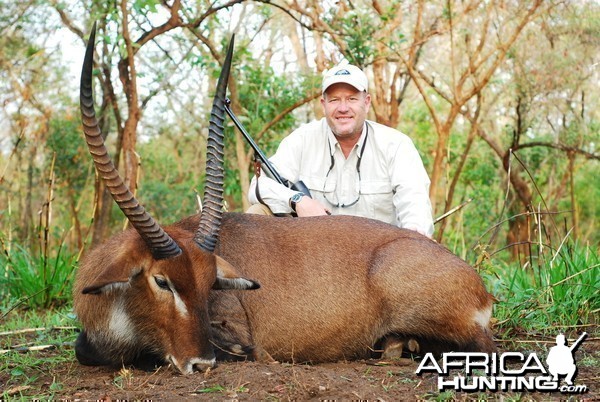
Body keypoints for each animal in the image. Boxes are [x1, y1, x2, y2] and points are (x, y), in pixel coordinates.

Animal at [74, 26, 496, 376]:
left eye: (210, 284)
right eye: (161, 281)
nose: (201, 363)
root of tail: (478, 284)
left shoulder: (237, 335)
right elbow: (84, 348)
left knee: (482, 348)